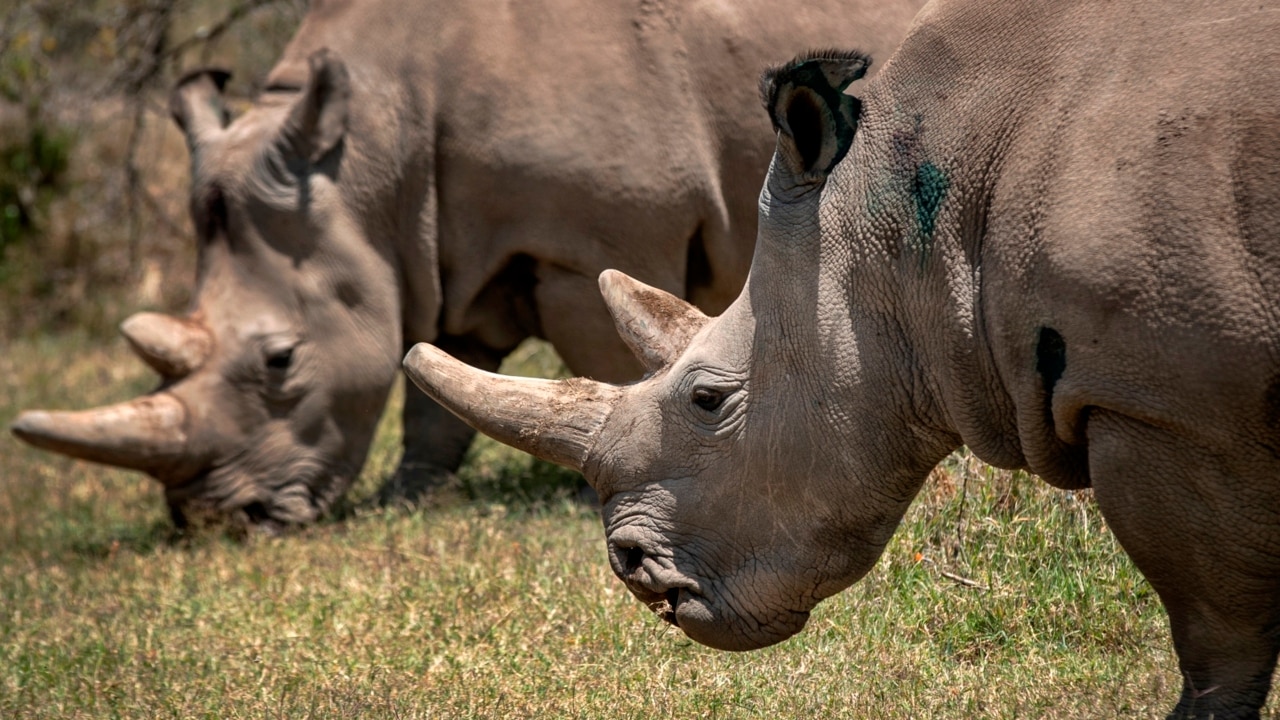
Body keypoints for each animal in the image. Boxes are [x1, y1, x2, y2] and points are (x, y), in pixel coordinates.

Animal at [5, 0, 921, 527]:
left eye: (280, 361)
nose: (221, 521)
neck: (370, 151)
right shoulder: (438, 243)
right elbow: (436, 381)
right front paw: (409, 499)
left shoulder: (592, 238)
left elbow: (601, 354)